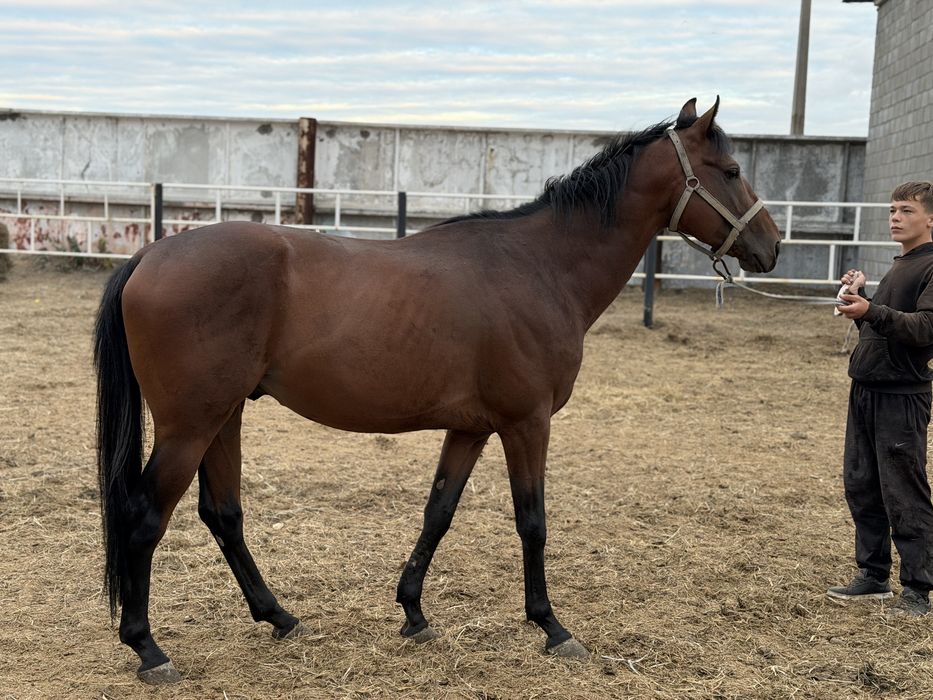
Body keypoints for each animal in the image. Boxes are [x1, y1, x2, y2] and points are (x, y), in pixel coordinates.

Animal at [94, 97, 781, 684]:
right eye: (730, 170)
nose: (771, 245)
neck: (541, 267)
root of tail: (151, 255)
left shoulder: (470, 428)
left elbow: (439, 512)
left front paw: (414, 613)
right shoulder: (526, 423)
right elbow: (532, 521)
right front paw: (552, 627)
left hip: (224, 415)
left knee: (223, 514)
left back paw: (279, 616)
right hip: (190, 425)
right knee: (144, 515)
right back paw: (148, 647)